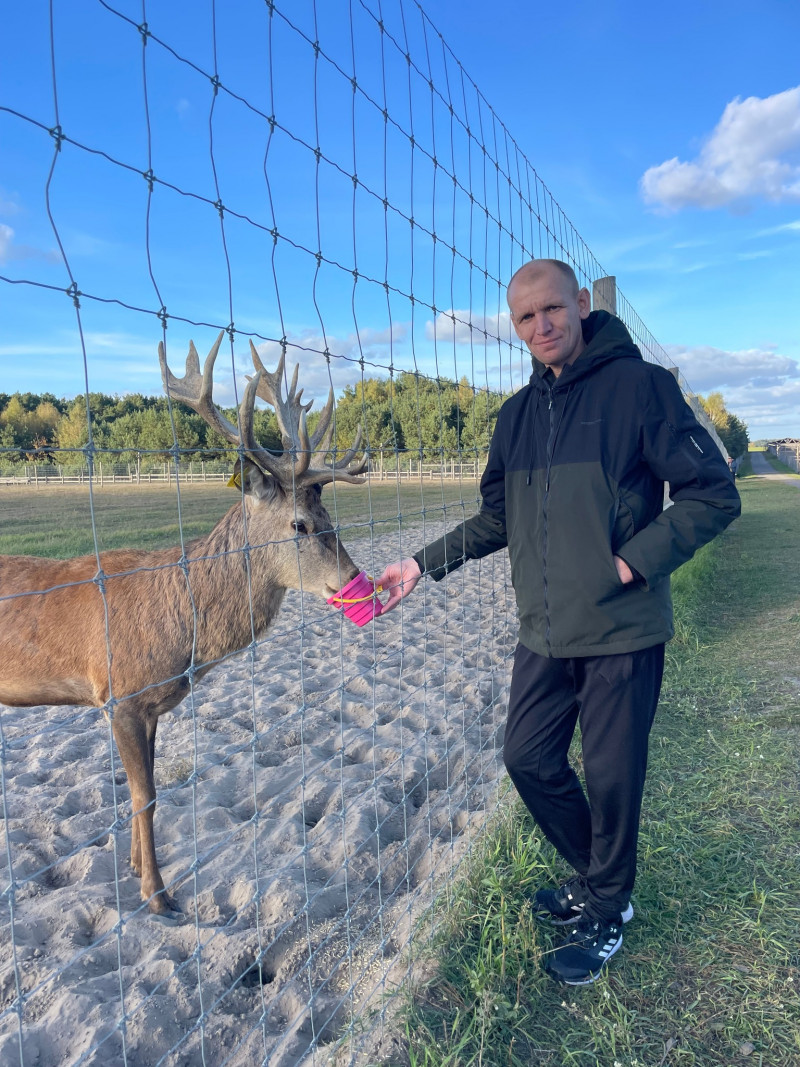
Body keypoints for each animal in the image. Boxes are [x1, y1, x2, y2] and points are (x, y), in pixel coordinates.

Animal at [0, 332, 369, 917]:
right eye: (300, 524)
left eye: (331, 518)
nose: (356, 579)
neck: (180, 636)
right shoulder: (120, 695)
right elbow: (144, 796)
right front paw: (158, 896)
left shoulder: (149, 706)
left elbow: (145, 793)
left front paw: (134, 869)